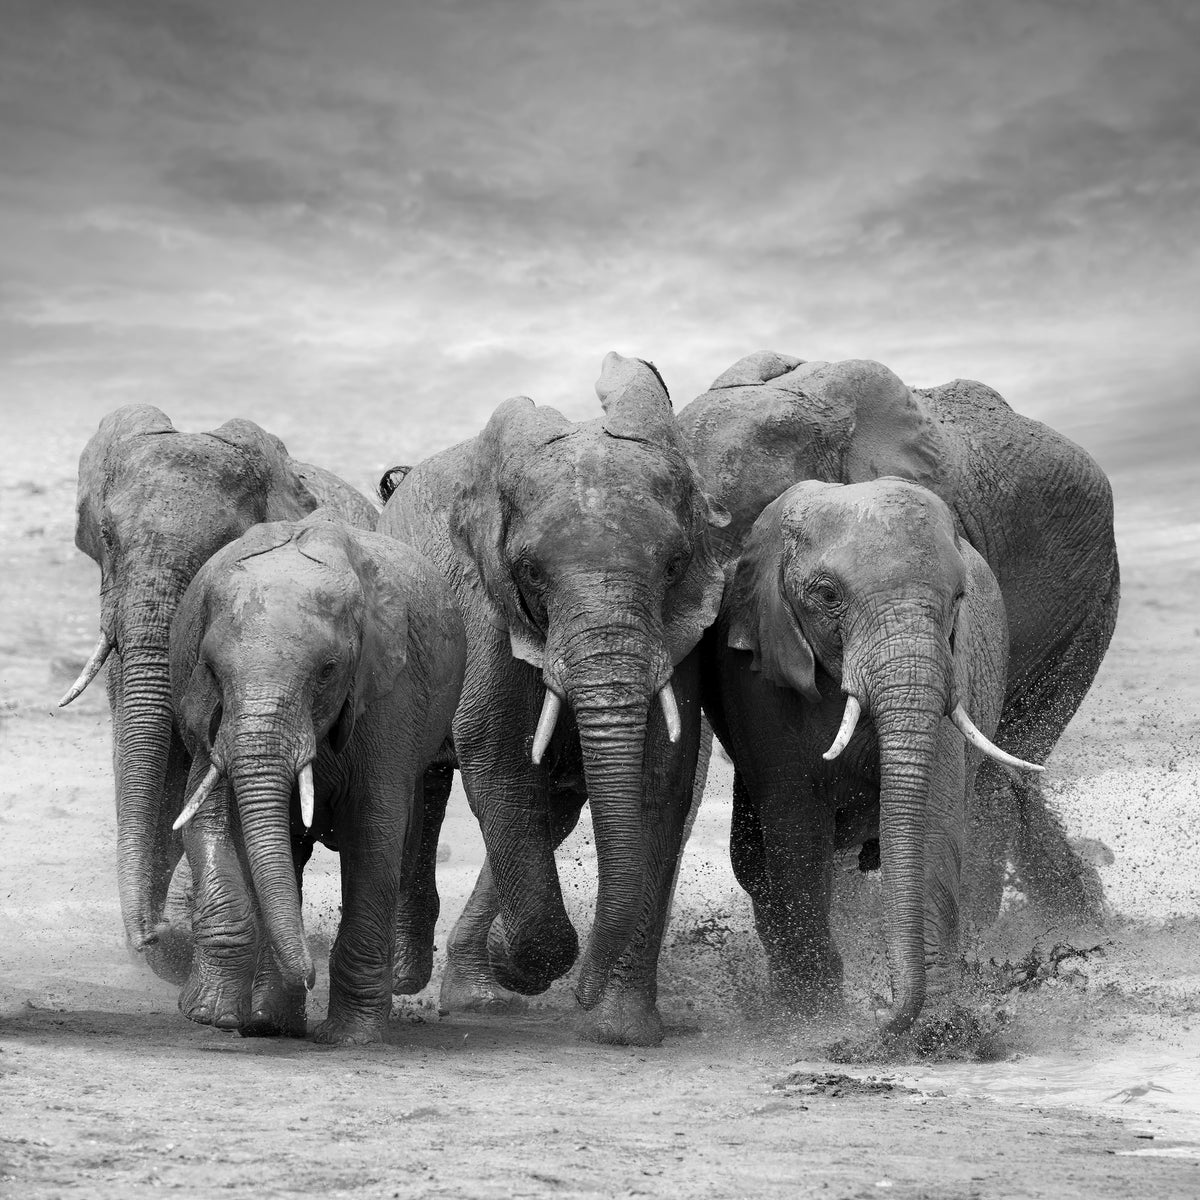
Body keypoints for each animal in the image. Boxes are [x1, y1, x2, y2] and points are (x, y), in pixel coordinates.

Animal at [168, 512, 465, 1044]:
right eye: (211, 669)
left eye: (327, 671)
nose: (307, 975)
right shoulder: (208, 713)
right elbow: (209, 817)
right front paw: (211, 1015)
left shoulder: (389, 695)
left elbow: (375, 832)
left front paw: (350, 1038)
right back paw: (267, 1020)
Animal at [376, 352, 731, 1046]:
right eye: (530, 573)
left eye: (674, 566)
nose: (586, 994)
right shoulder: (486, 606)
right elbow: (494, 749)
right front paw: (525, 962)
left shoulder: (678, 634)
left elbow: (661, 772)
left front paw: (617, 1025)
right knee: (423, 786)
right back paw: (408, 977)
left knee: (552, 808)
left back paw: (481, 994)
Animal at [704, 477, 1043, 1032]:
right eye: (827, 596)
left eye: (958, 597)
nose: (880, 1014)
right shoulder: (758, 681)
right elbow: (795, 830)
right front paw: (817, 1016)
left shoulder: (951, 672)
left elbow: (932, 821)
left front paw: (940, 1029)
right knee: (755, 860)